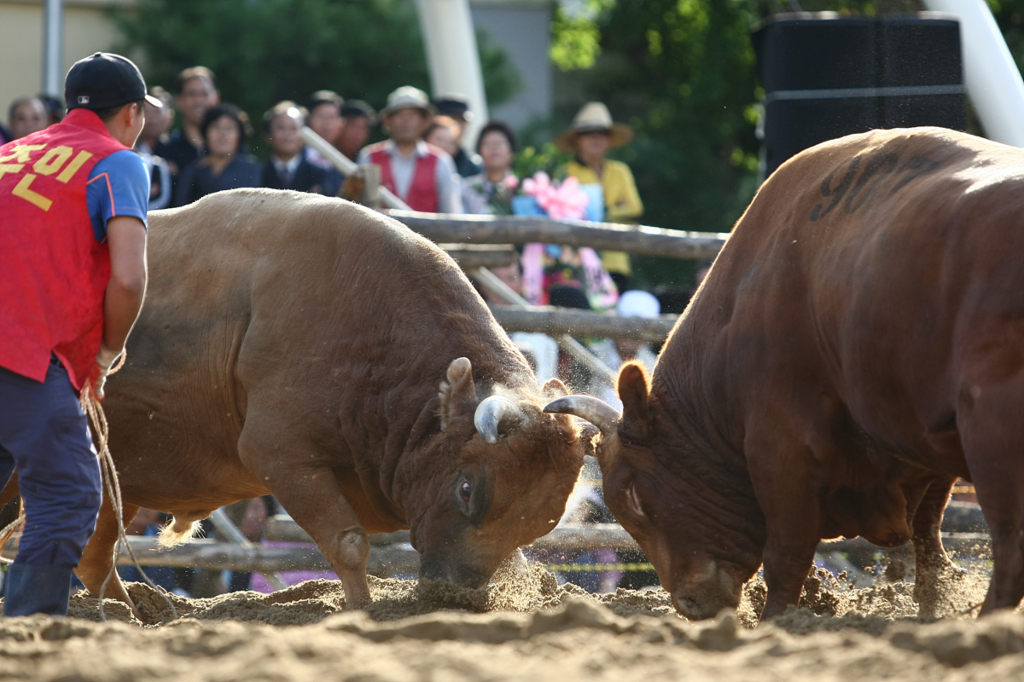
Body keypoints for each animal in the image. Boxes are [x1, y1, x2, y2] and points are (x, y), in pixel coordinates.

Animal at [0, 187, 585, 614]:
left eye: (542, 523)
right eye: (466, 489)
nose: (454, 597)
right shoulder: (279, 456)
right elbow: (348, 542)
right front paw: (361, 611)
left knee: (92, 556)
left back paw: (131, 615)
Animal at [552, 127, 1024, 622]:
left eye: (632, 495)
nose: (688, 602)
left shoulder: (781, 448)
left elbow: (787, 553)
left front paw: (777, 621)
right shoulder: (923, 452)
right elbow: (929, 544)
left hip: (992, 434)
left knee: (1010, 545)